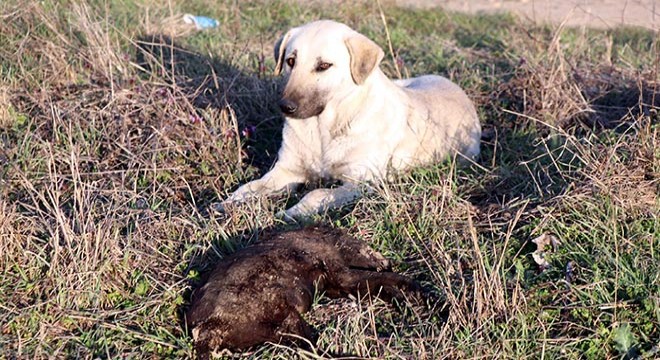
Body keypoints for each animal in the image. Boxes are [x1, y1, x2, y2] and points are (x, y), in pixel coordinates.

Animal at [219, 21, 482, 221]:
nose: (286, 107)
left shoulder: (361, 182)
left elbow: (317, 193)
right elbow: (251, 187)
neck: (324, 127)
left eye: (324, 65)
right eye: (290, 61)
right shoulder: (286, 170)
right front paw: (227, 203)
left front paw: (291, 212)